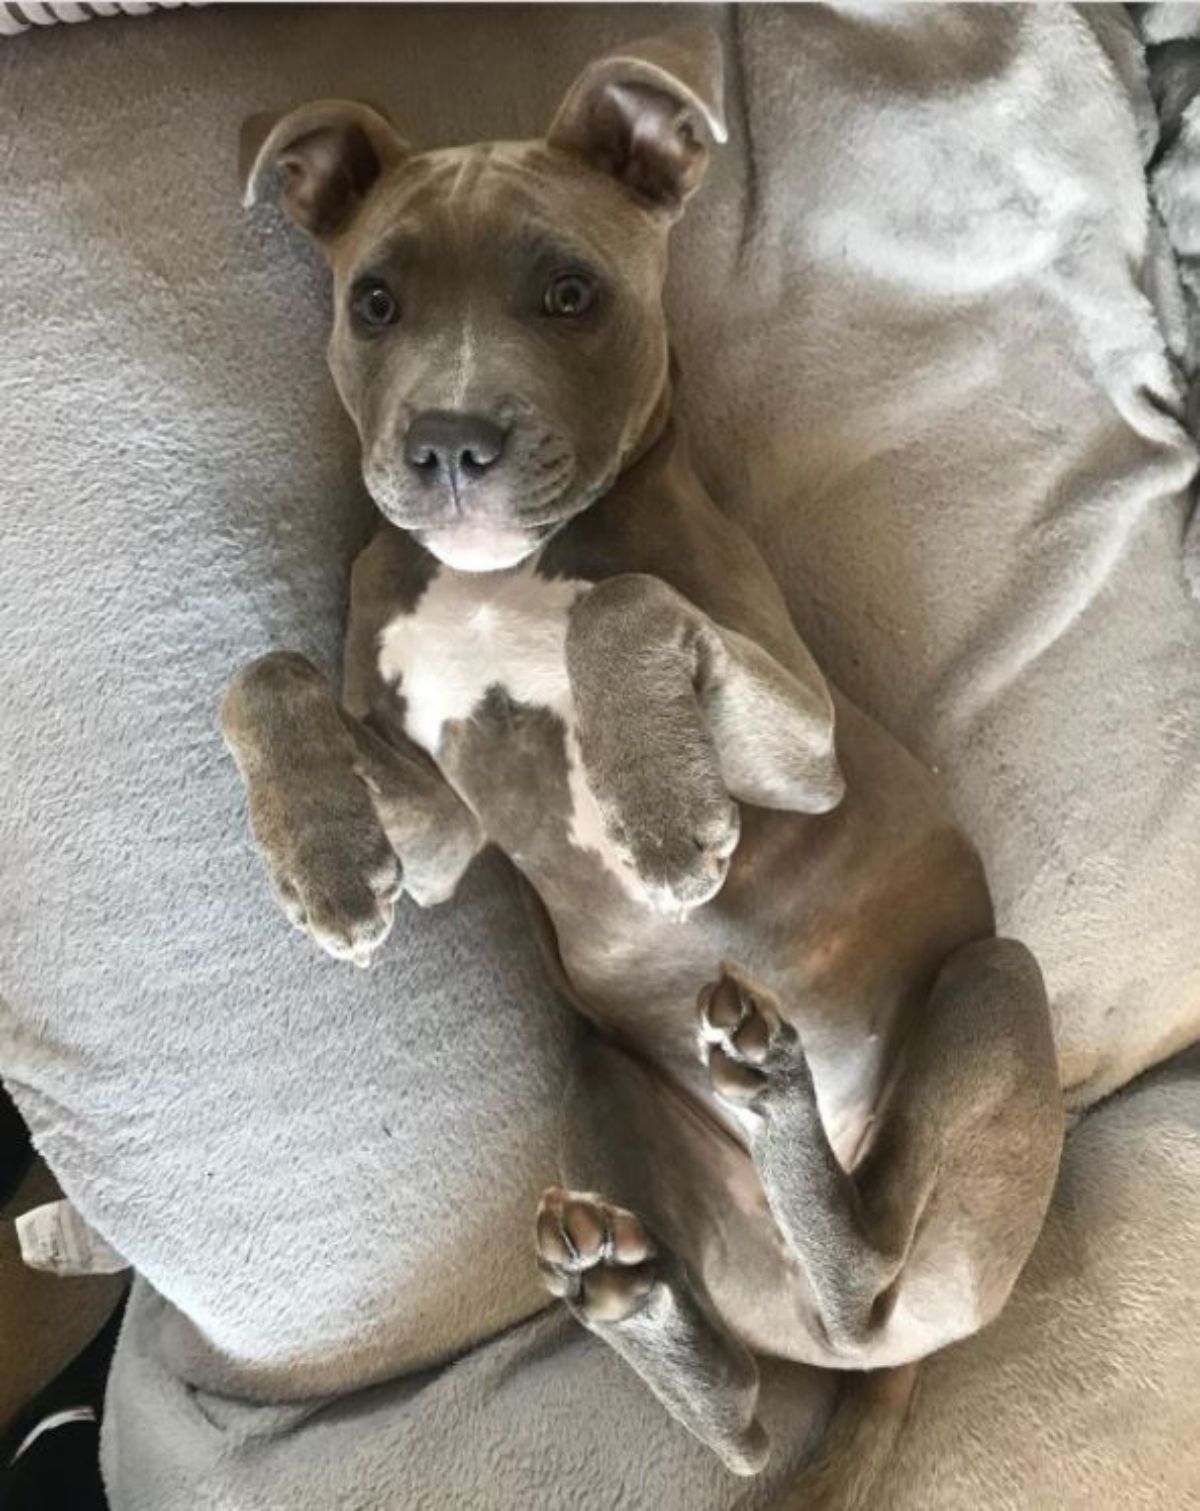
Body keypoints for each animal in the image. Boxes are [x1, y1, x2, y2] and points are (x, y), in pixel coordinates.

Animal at [222, 29, 1057, 1492]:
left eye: (572, 292)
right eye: (373, 300)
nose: (449, 443)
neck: (499, 575)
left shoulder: (807, 743)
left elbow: (623, 602)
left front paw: (657, 810)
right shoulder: (440, 828)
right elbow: (267, 672)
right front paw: (324, 864)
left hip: (993, 987)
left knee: (868, 1272)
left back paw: (779, 1108)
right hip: (605, 1089)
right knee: (748, 1415)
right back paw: (632, 1291)